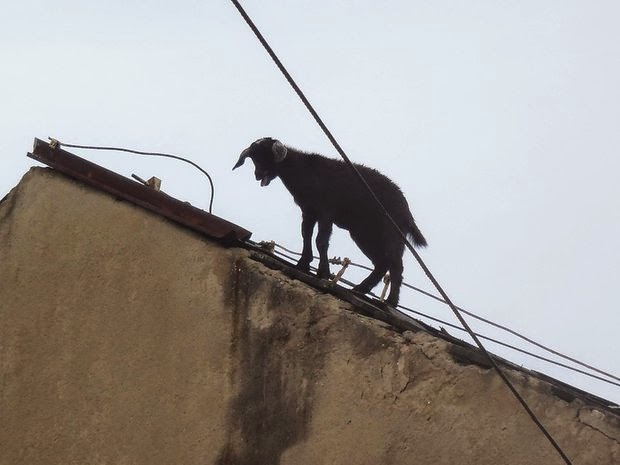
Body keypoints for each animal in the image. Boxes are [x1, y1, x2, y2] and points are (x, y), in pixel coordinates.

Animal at [232, 136, 426, 306]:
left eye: (265, 155)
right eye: (253, 158)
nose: (258, 175)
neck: (303, 170)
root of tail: (406, 211)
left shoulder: (326, 211)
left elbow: (321, 241)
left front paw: (323, 272)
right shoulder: (309, 211)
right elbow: (306, 234)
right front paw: (303, 263)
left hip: (390, 232)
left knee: (395, 264)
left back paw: (390, 301)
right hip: (364, 233)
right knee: (382, 263)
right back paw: (361, 289)